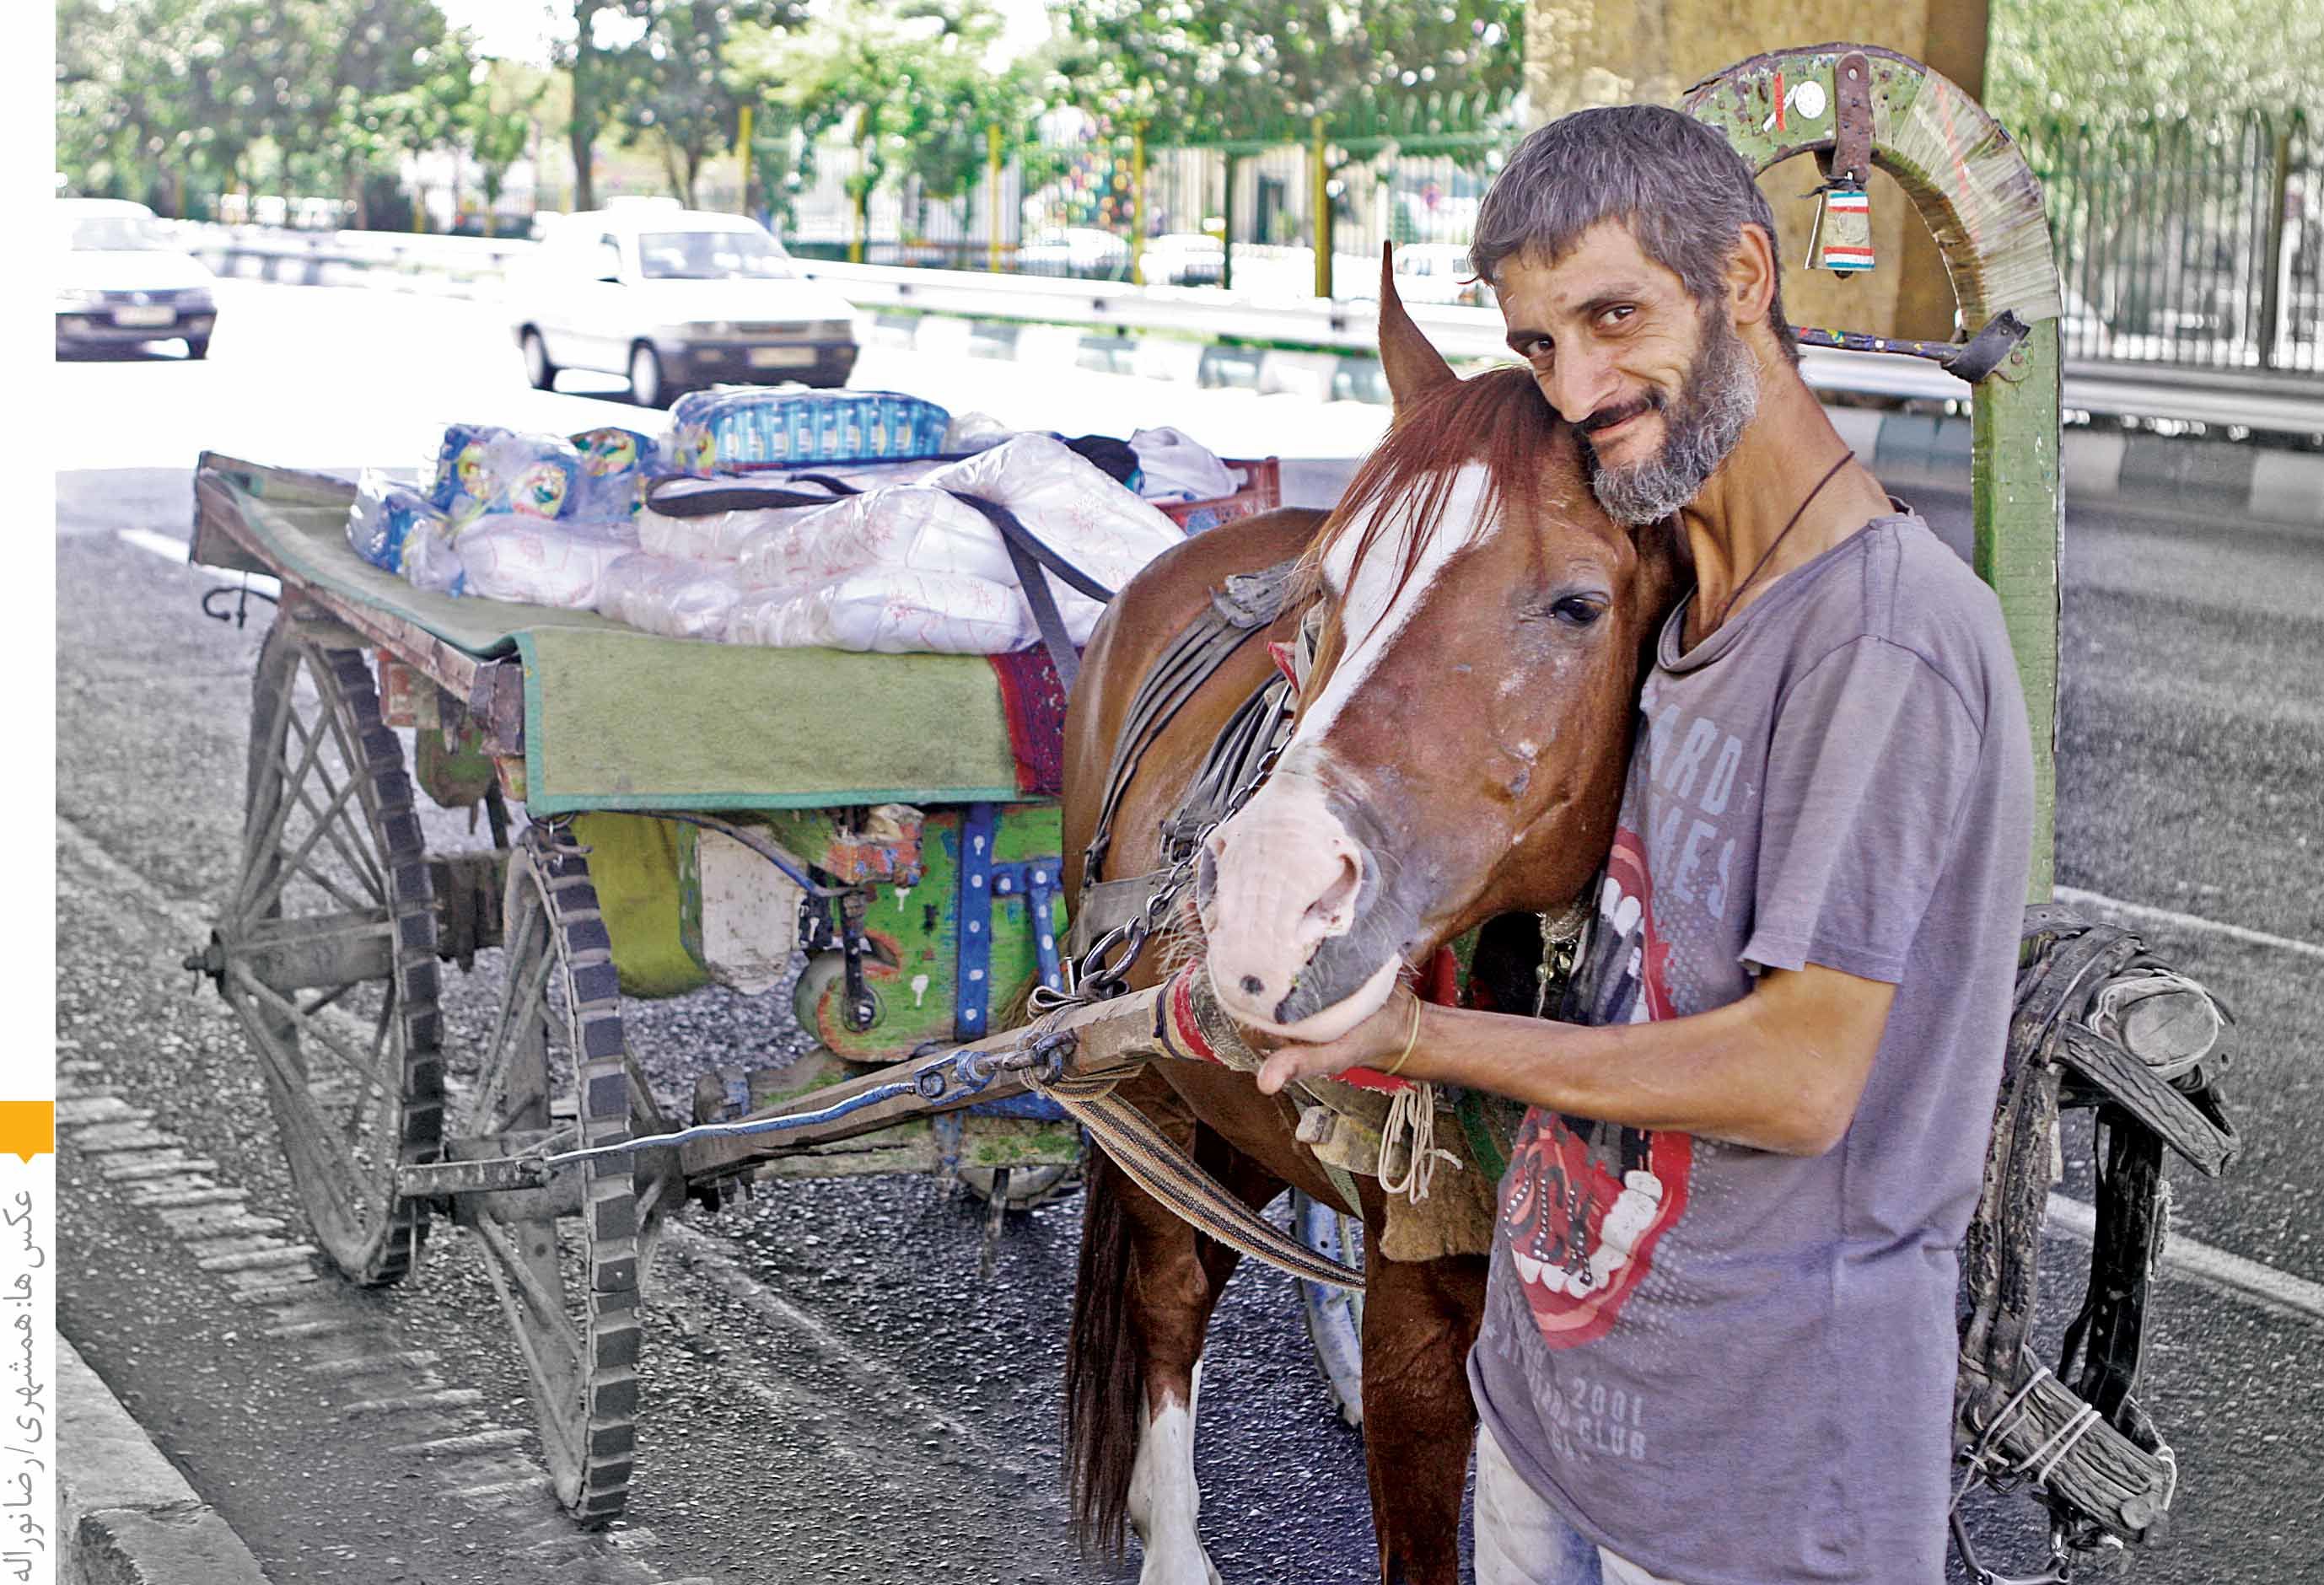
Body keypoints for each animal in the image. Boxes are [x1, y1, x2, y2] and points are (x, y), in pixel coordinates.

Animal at [1059, 265, 1692, 1571]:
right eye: (1328, 595)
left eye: (1580, 604)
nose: (1261, 896)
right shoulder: (1421, 1335)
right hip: (1140, 1078)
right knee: (1170, 1291)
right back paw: (1172, 1536)